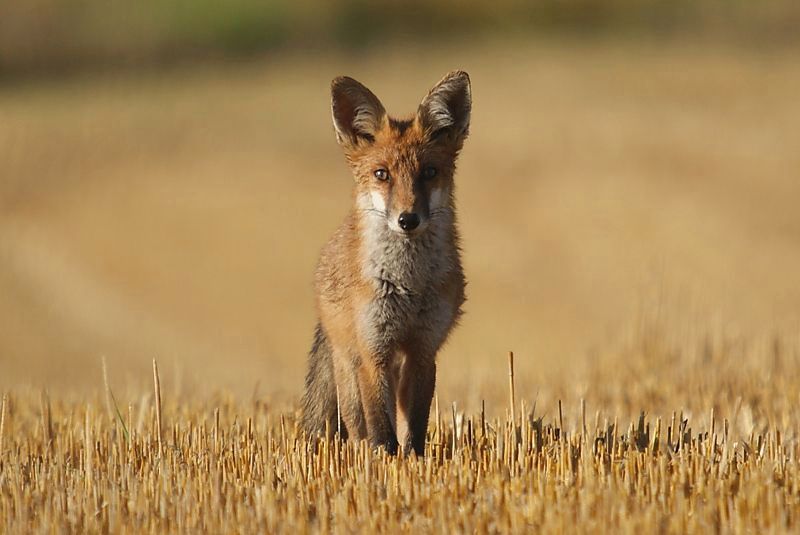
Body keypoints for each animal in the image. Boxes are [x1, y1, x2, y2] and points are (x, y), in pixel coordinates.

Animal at [304, 70, 472, 456]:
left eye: (429, 172)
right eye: (382, 174)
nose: (407, 220)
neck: (408, 286)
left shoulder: (423, 350)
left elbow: (416, 424)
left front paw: (415, 460)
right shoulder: (373, 350)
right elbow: (380, 425)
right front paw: (383, 458)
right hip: (348, 365)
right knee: (356, 423)